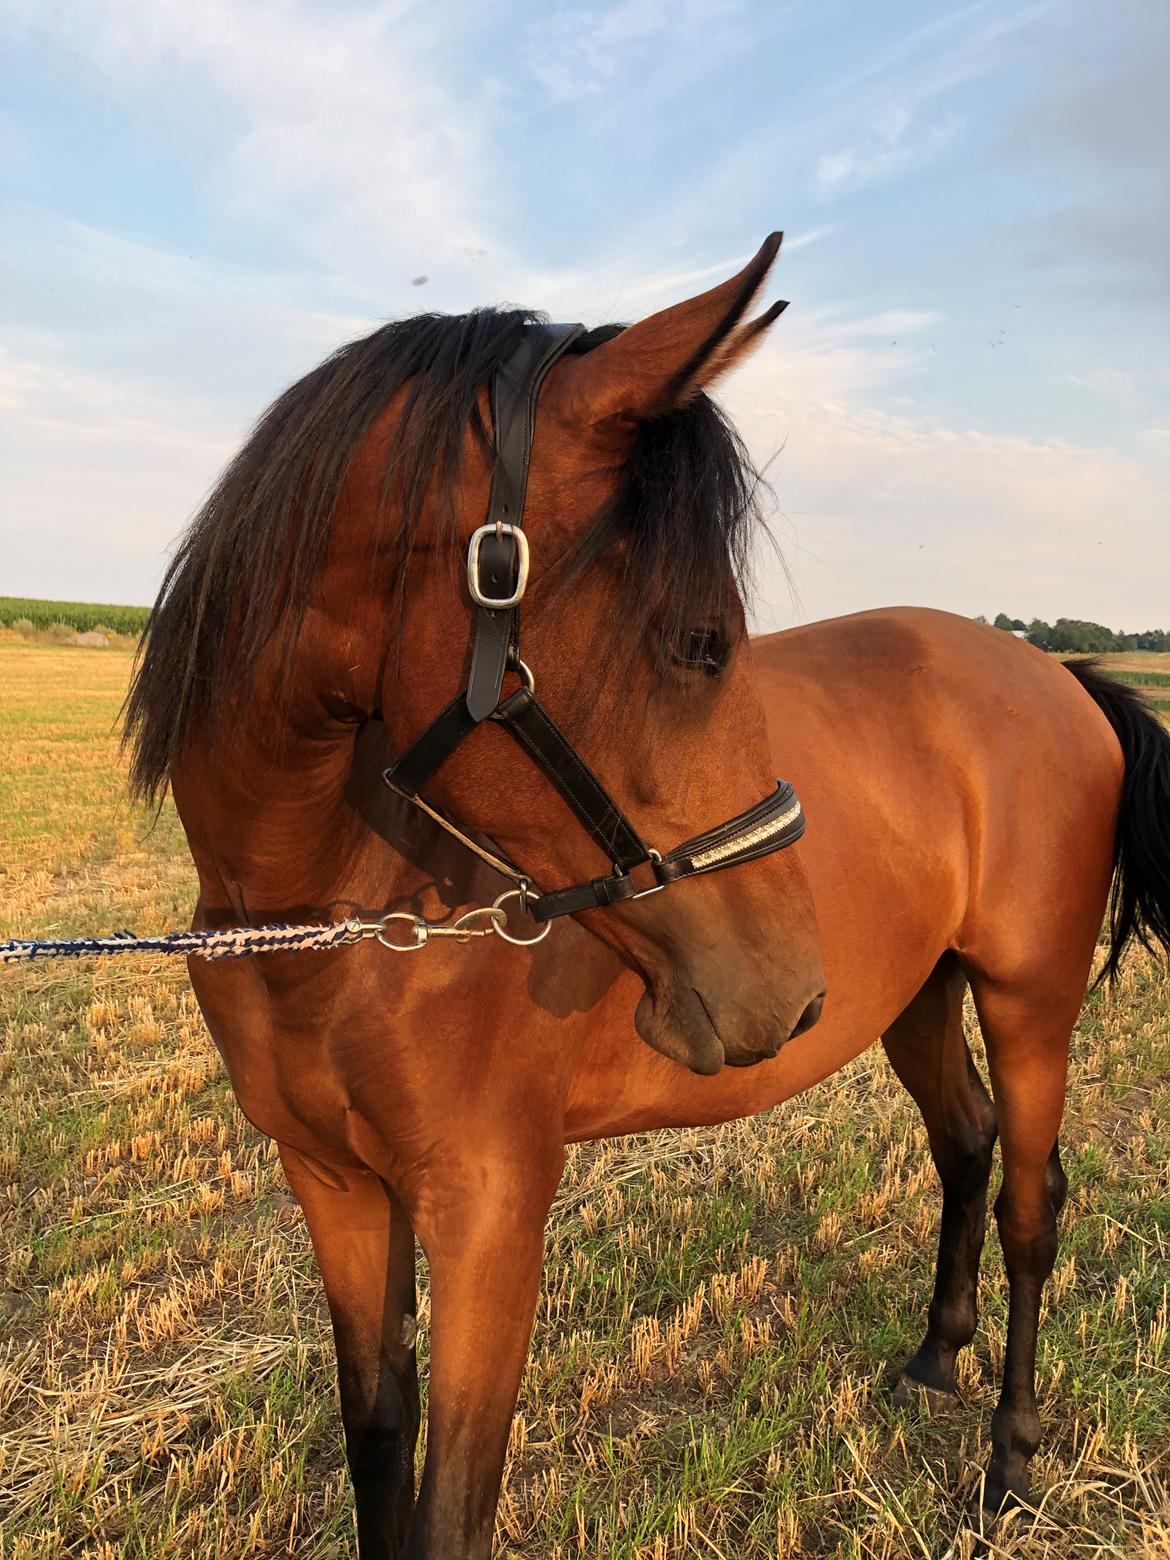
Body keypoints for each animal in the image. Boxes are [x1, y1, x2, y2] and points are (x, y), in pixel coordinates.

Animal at [121, 233, 1170, 1560]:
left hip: (1029, 1001)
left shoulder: (491, 1204)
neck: (332, 922)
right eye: (700, 643)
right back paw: (937, 1357)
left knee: (1036, 1205)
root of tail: (1057, 673)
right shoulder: (337, 1190)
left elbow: (452, 1507)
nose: (786, 989)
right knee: (966, 1144)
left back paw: (1013, 1458)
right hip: (917, 997)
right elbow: (377, 1443)